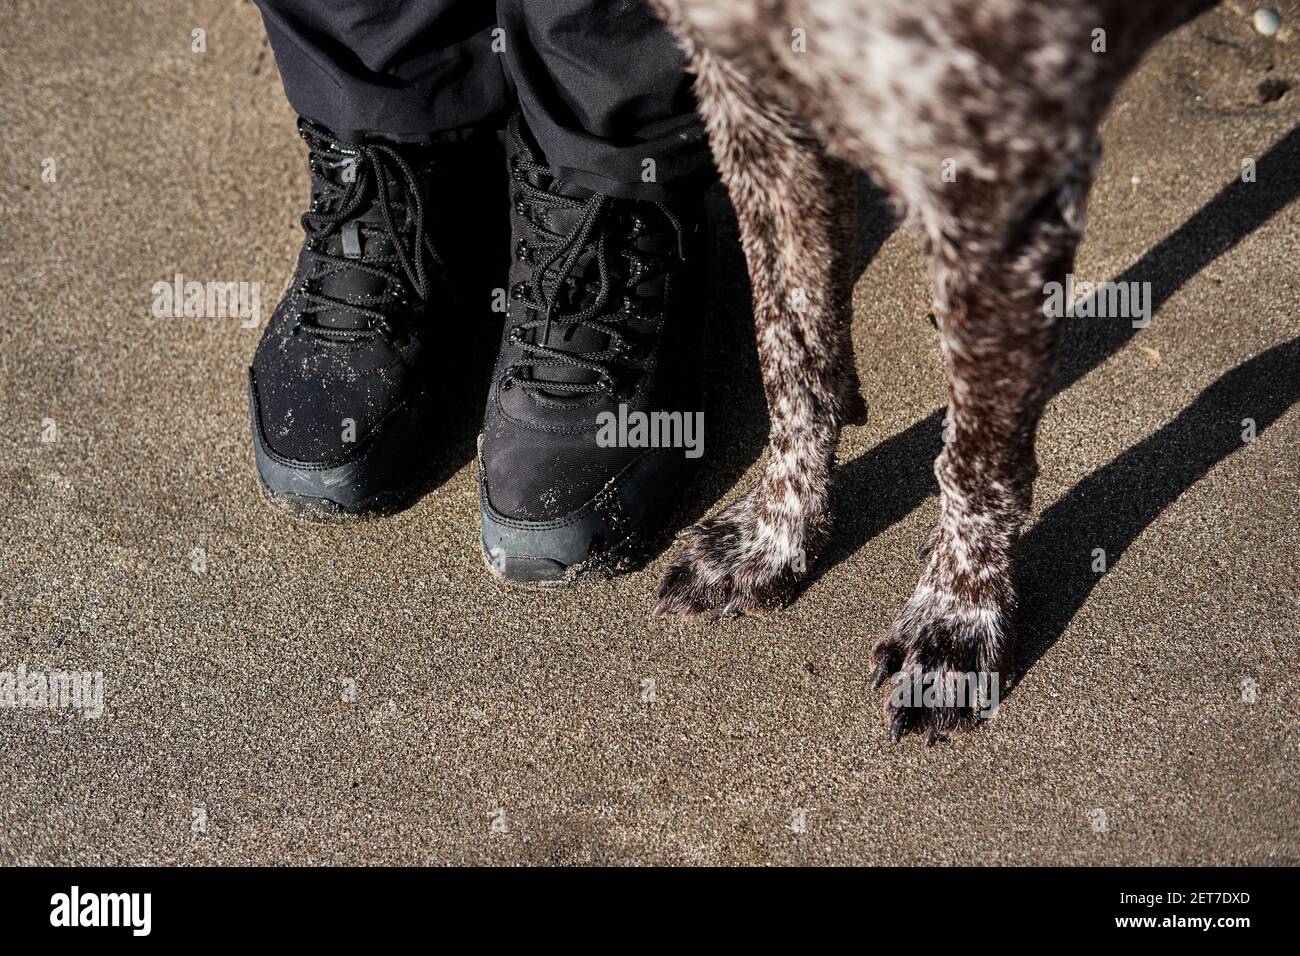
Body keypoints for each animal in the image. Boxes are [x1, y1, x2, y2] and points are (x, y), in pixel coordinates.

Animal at [647, 0, 1196, 743]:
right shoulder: (748, 99)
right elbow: (790, 350)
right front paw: (773, 537)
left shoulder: (993, 192)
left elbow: (977, 460)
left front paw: (956, 621)